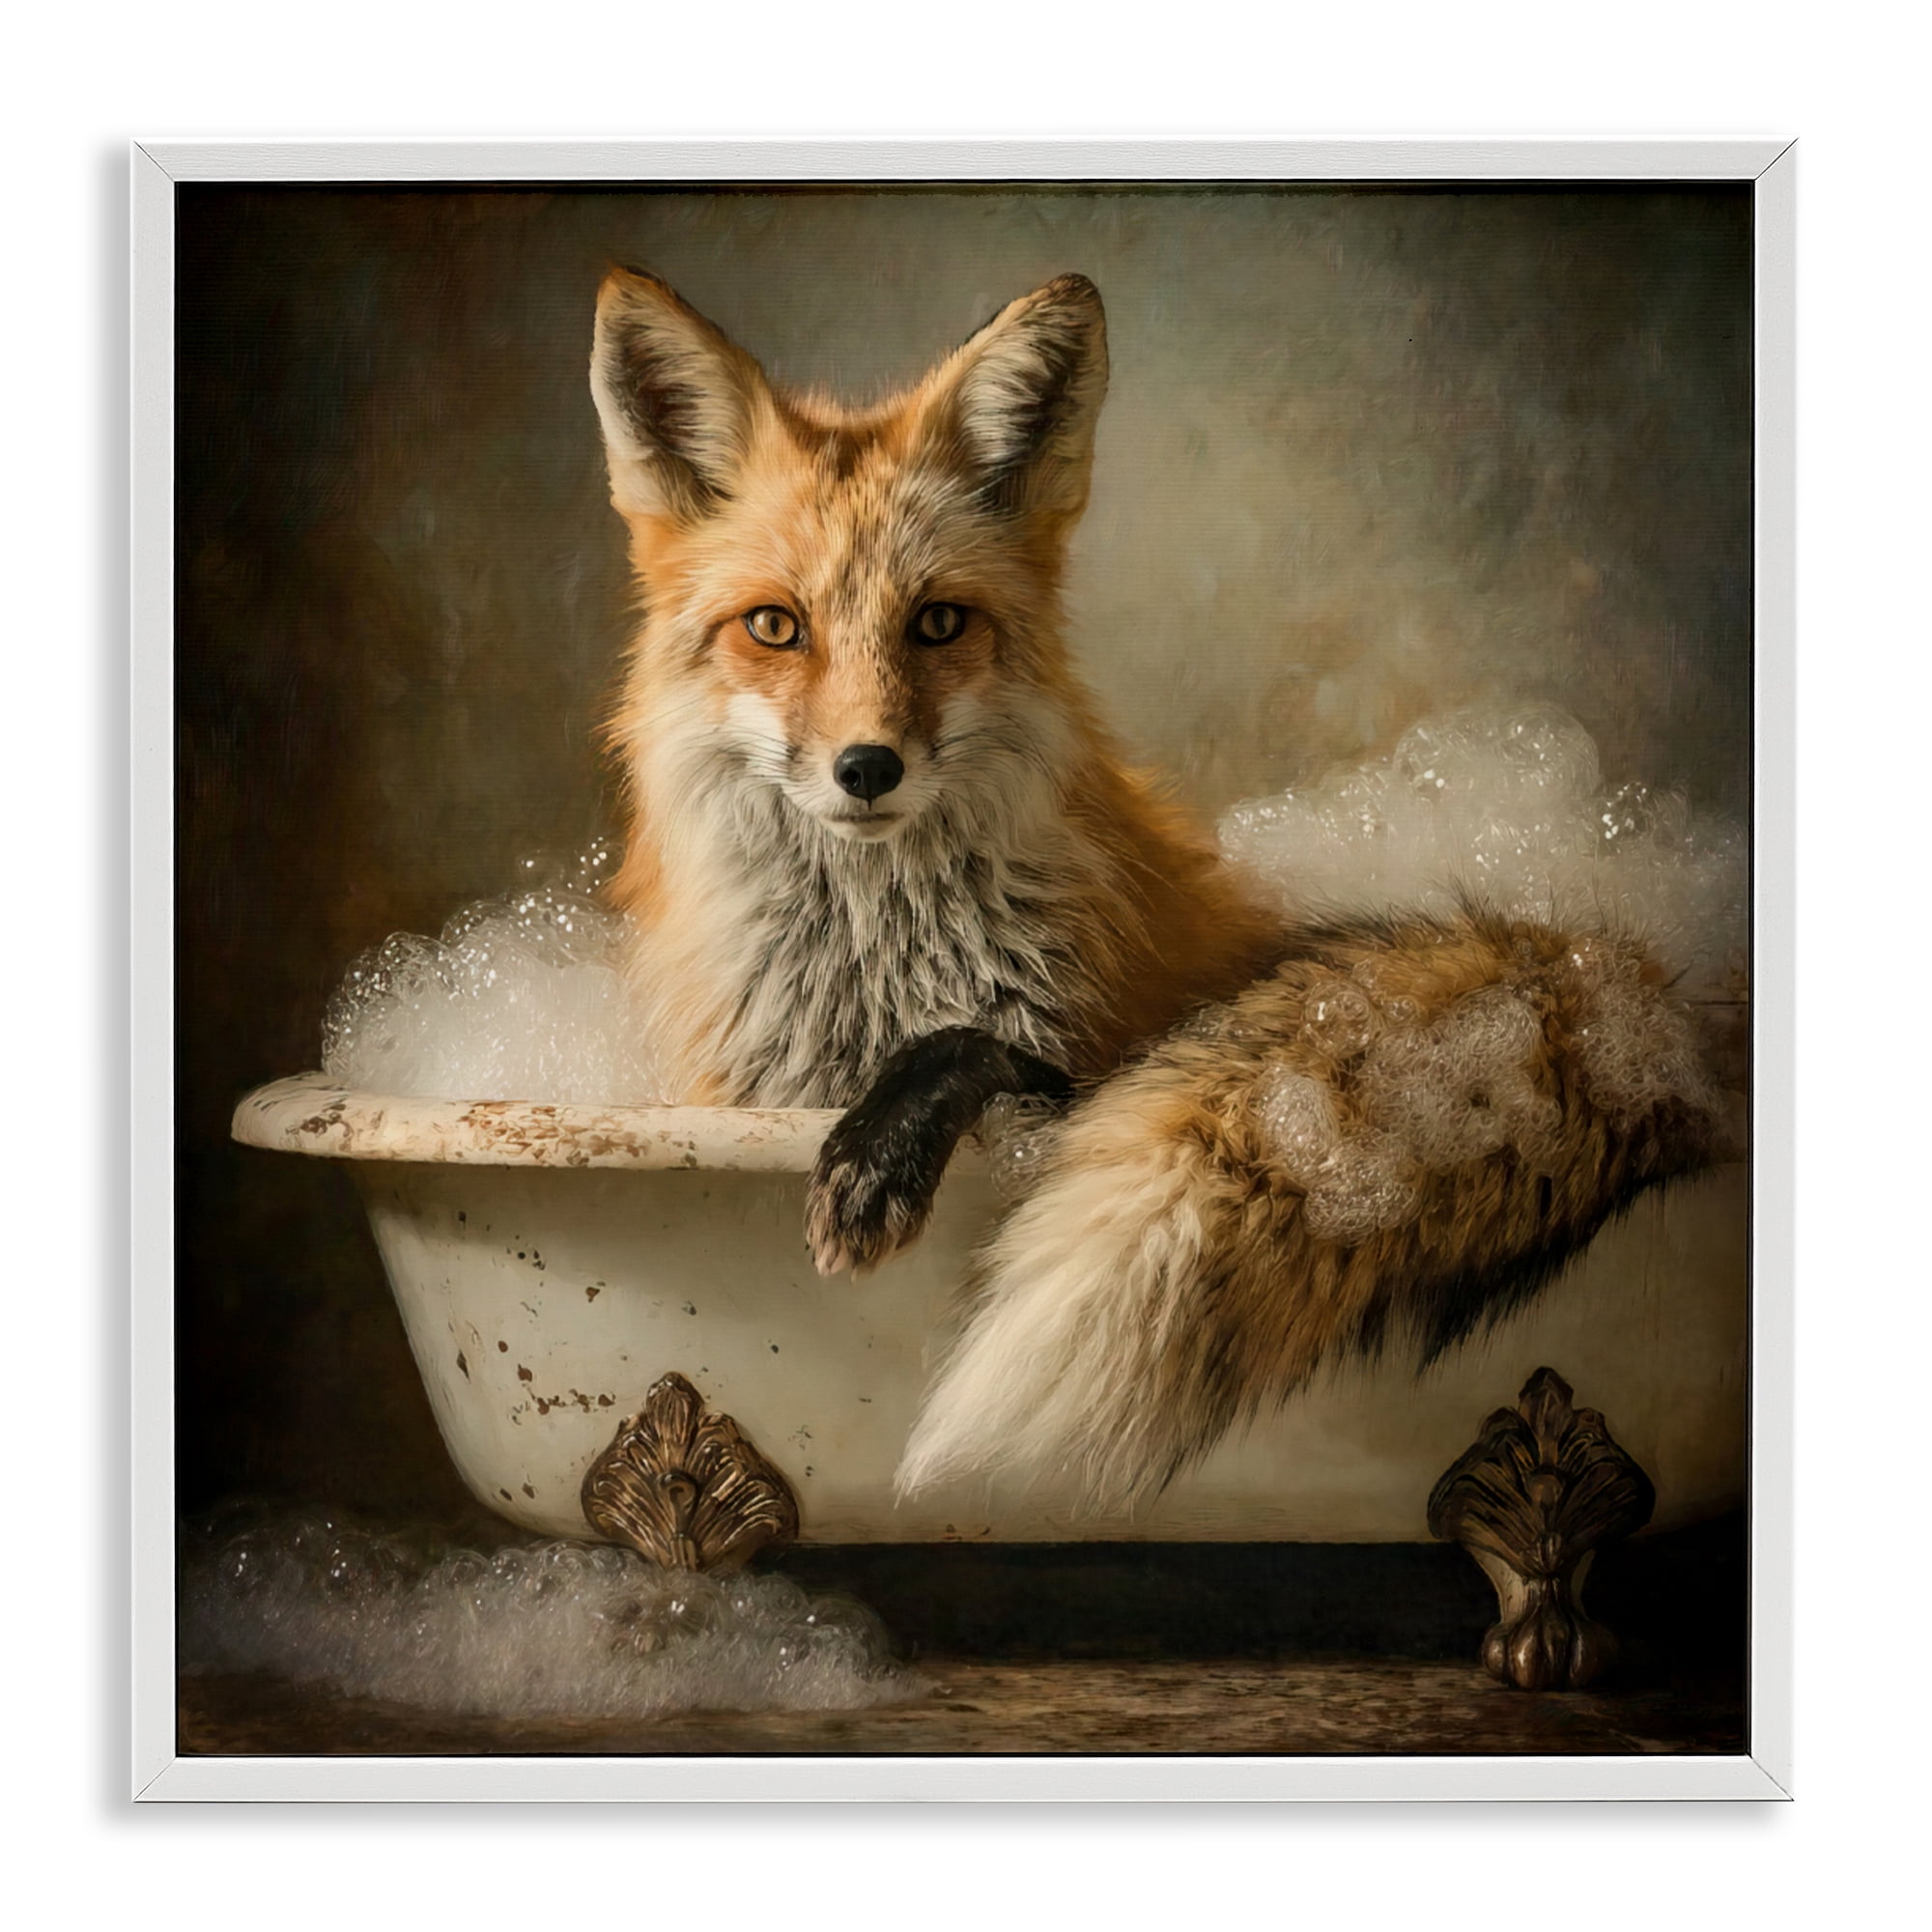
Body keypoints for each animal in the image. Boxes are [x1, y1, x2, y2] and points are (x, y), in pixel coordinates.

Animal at [589, 266, 1724, 1509]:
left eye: (936, 622)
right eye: (774, 627)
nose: (867, 767)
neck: (877, 974)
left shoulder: (1089, 1051)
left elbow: (969, 1042)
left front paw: (876, 1153)